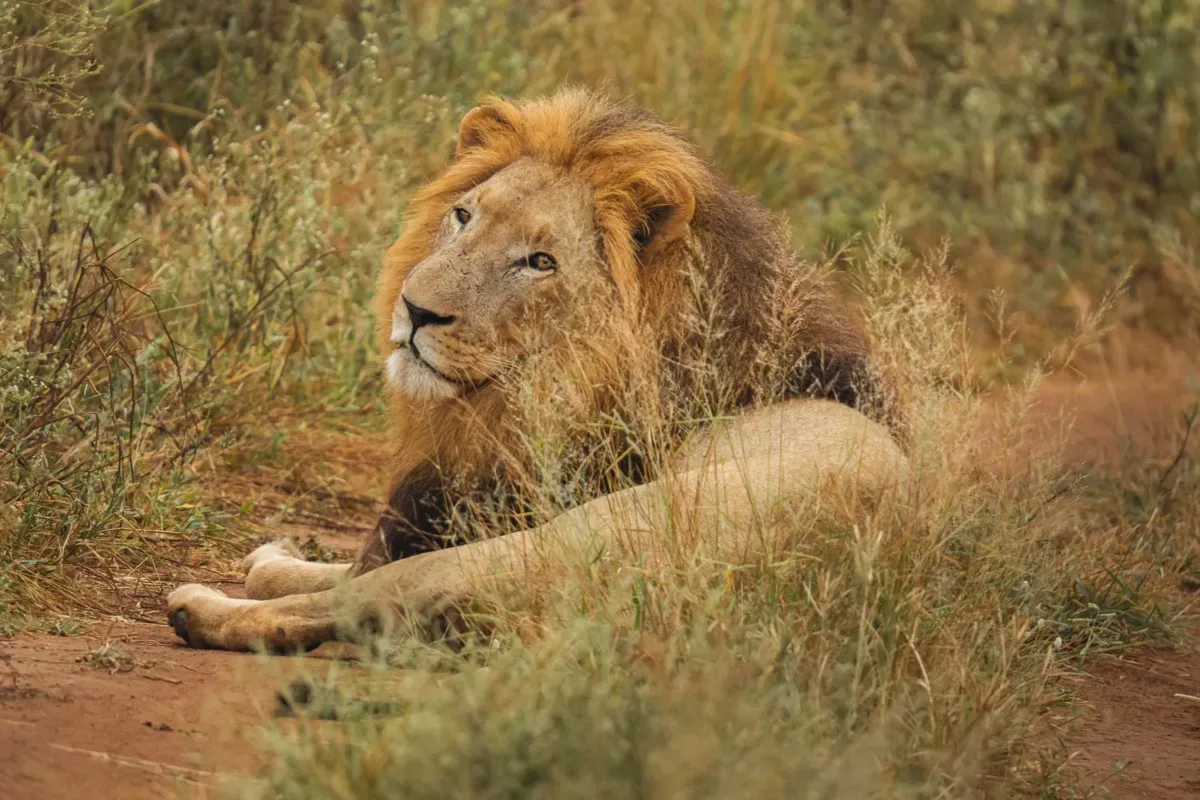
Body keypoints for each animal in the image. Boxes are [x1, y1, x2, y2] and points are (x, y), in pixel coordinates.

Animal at [166, 89, 907, 652]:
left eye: (540, 261)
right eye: (463, 216)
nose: (415, 309)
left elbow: (349, 577)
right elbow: (326, 569)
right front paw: (274, 557)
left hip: (578, 531)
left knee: (375, 594)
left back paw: (202, 610)